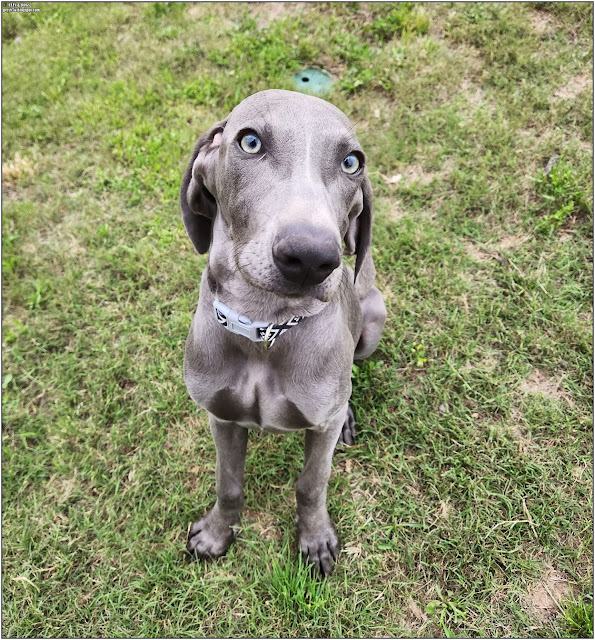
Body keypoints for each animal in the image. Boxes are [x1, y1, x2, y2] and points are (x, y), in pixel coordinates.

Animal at [180, 89, 386, 576]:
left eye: (352, 162)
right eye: (250, 142)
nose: (311, 258)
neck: (265, 327)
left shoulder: (319, 430)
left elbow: (312, 483)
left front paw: (315, 540)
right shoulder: (221, 417)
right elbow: (228, 484)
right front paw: (217, 532)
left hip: (373, 320)